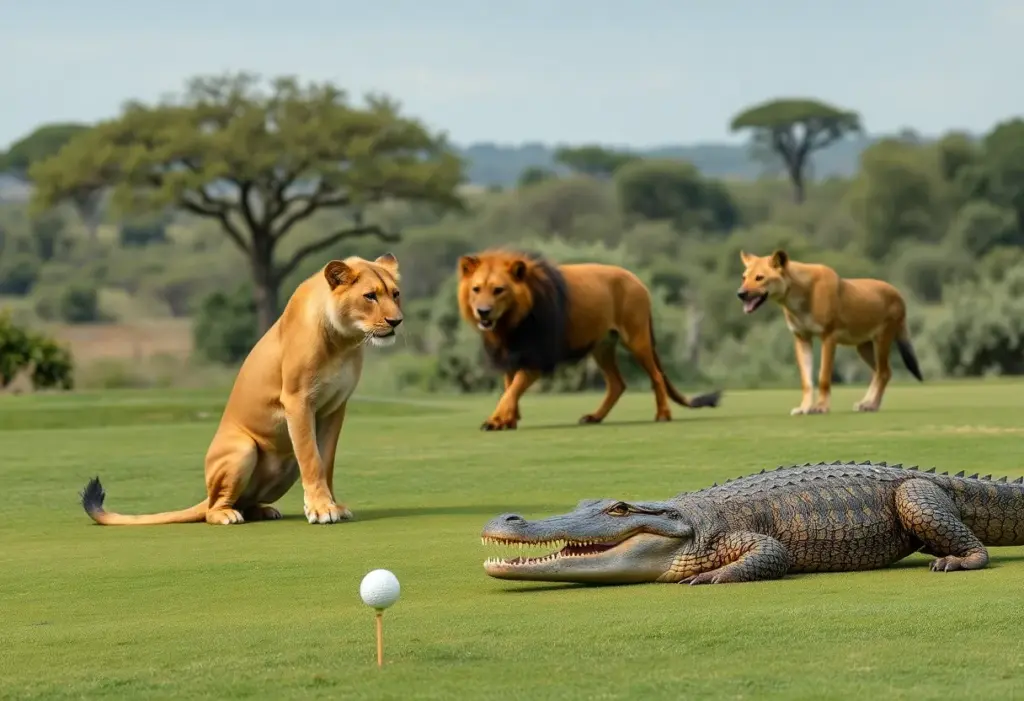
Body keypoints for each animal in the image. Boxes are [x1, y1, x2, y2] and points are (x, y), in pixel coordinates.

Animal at [80, 254, 403, 526]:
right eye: (370, 296)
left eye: (395, 294)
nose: (396, 321)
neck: (343, 341)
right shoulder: (297, 402)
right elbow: (312, 459)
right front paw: (322, 509)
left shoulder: (335, 407)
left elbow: (327, 461)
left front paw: (333, 505)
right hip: (243, 449)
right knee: (213, 508)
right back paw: (226, 514)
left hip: (285, 466)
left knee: (245, 501)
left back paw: (263, 510)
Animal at [457, 250, 721, 430]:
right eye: (476, 289)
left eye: (499, 290)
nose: (483, 312)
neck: (510, 323)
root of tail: (637, 280)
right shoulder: (510, 354)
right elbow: (509, 389)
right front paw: (507, 421)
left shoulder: (536, 358)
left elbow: (510, 391)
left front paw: (495, 421)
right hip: (601, 347)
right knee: (617, 383)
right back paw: (594, 417)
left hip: (636, 338)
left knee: (656, 375)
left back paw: (663, 415)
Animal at [737, 249, 923, 415]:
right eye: (744, 277)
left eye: (759, 277)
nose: (740, 293)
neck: (798, 297)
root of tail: (898, 294)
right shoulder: (802, 338)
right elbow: (806, 381)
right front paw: (804, 408)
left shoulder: (828, 338)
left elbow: (824, 377)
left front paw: (821, 407)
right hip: (863, 347)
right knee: (882, 372)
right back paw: (867, 404)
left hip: (881, 341)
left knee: (883, 373)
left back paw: (871, 405)